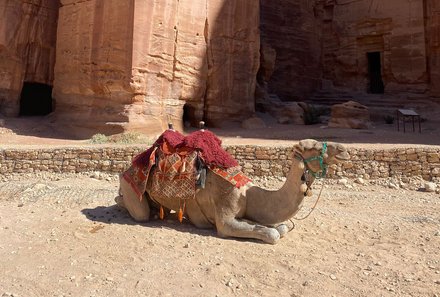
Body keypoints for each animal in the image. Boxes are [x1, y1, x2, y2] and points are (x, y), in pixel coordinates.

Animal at [115, 139, 348, 243]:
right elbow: (272, 233)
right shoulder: (225, 212)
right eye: (313, 147)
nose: (344, 150)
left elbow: (277, 227)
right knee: (139, 212)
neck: (247, 194)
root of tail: (127, 168)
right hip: (130, 186)